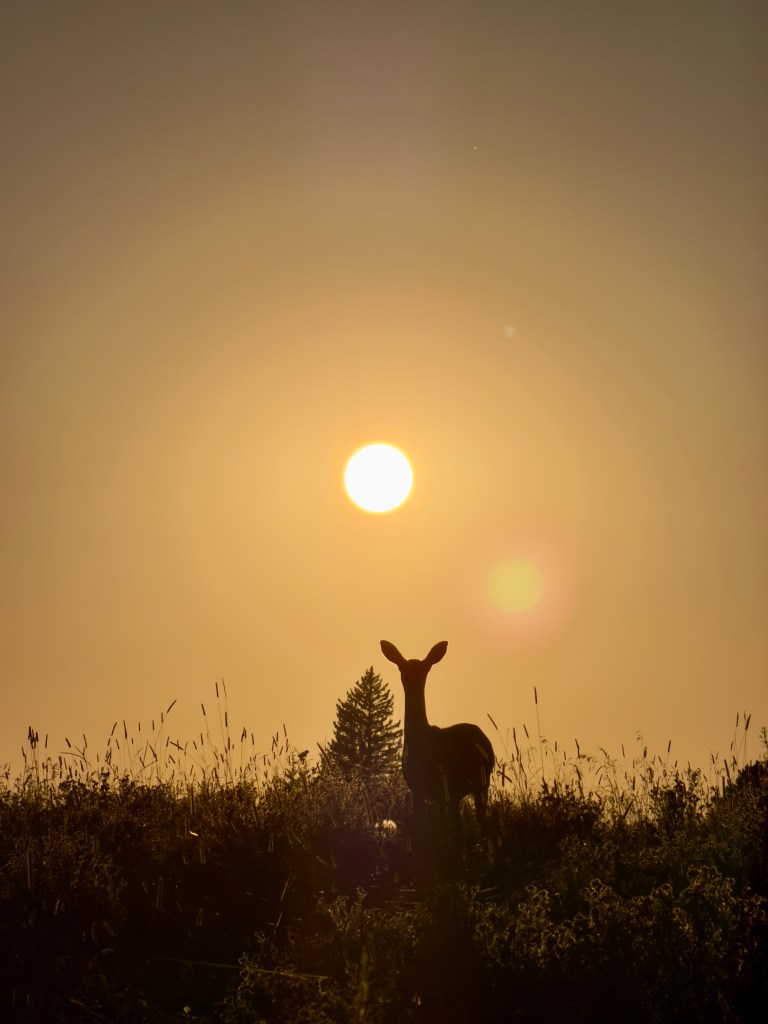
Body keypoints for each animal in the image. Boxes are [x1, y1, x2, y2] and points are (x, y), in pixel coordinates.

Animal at [380, 640, 494, 835]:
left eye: (424, 669)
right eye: (402, 667)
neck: (419, 734)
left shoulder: (419, 788)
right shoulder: (434, 795)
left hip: (460, 783)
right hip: (474, 785)